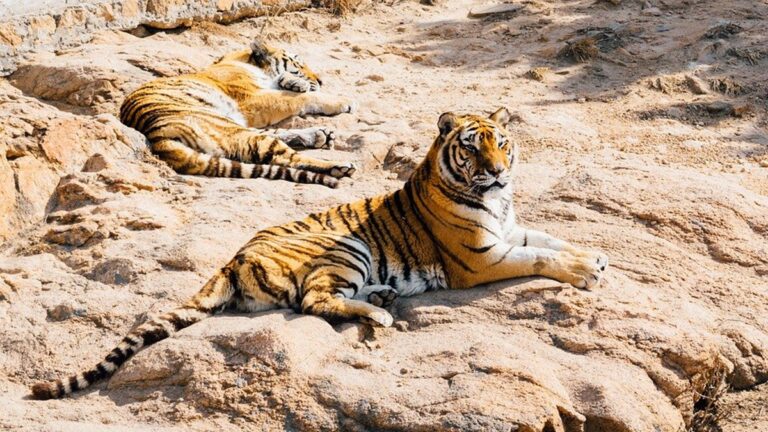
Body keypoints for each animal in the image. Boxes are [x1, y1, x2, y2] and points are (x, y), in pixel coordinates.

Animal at [31, 108, 609, 400]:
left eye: (502, 142)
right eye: (472, 146)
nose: (497, 170)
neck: (495, 199)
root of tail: (231, 258)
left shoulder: (510, 229)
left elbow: (551, 240)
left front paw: (596, 255)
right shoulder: (481, 257)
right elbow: (541, 258)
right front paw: (586, 270)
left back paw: (382, 298)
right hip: (347, 245)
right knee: (313, 300)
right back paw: (382, 311)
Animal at [119, 39, 358, 188]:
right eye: (299, 64)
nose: (321, 80)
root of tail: (156, 138)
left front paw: (294, 83)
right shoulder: (251, 101)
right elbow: (301, 98)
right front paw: (343, 101)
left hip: (234, 127)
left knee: (274, 138)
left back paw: (321, 135)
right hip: (230, 128)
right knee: (286, 157)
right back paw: (339, 166)